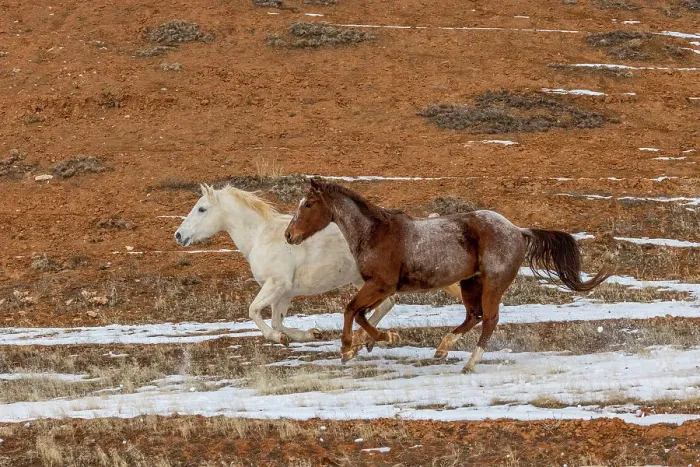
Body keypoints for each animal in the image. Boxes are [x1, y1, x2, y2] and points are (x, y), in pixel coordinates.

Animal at [174, 184, 462, 346]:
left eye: (201, 209)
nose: (178, 235)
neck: (261, 236)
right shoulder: (285, 292)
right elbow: (278, 321)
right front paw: (308, 335)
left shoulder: (276, 285)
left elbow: (254, 311)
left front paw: (278, 338)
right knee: (385, 305)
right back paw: (367, 339)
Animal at [284, 179, 610, 373]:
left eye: (308, 204)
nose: (289, 235)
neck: (374, 233)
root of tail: (517, 230)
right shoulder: (380, 287)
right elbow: (361, 313)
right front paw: (372, 342)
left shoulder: (380, 285)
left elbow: (351, 309)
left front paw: (349, 348)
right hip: (470, 283)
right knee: (473, 316)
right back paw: (442, 348)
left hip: (493, 283)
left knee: (489, 319)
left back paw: (470, 363)